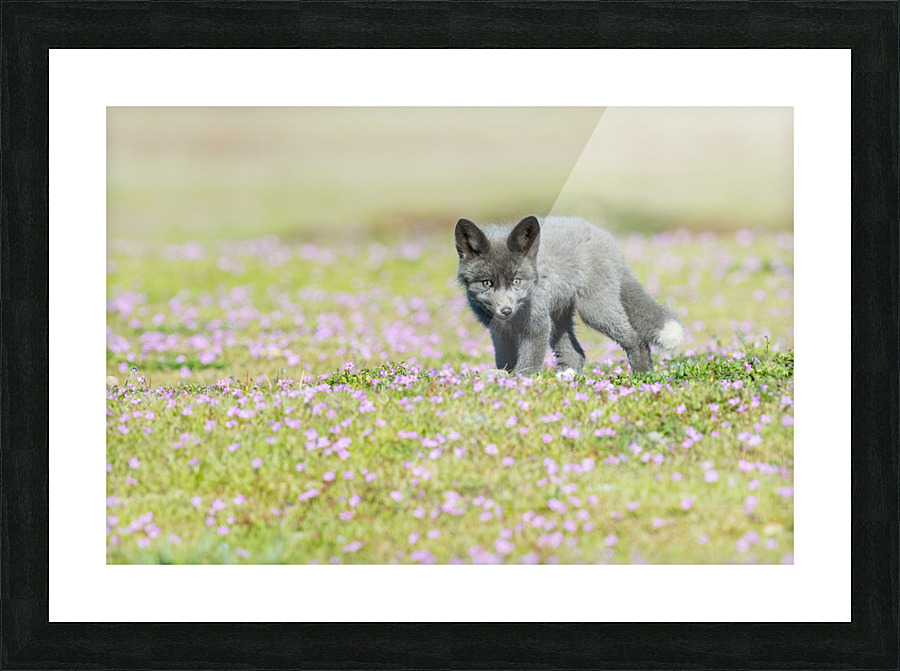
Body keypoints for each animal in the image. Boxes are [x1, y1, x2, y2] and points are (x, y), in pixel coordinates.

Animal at [454, 215, 684, 375]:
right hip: (560, 319)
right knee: (577, 354)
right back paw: (566, 378)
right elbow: (505, 361)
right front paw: (504, 379)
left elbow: (528, 364)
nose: (505, 310)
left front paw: (521, 385)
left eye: (516, 281)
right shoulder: (501, 331)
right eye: (487, 283)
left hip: (594, 311)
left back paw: (643, 378)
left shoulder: (538, 326)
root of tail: (606, 239)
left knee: (635, 338)